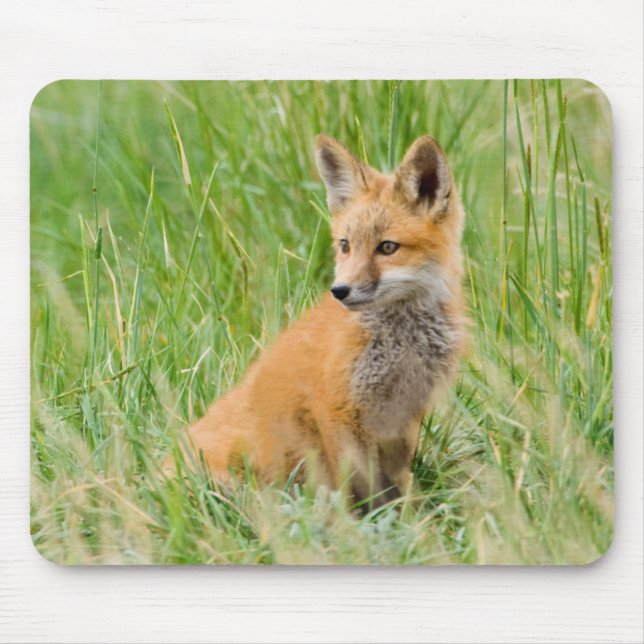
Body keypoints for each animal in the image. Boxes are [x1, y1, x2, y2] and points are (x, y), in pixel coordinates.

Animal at [176, 134, 467, 506]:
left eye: (387, 247)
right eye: (345, 245)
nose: (339, 291)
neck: (400, 343)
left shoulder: (404, 416)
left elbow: (398, 484)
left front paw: (410, 514)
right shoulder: (336, 408)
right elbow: (358, 485)